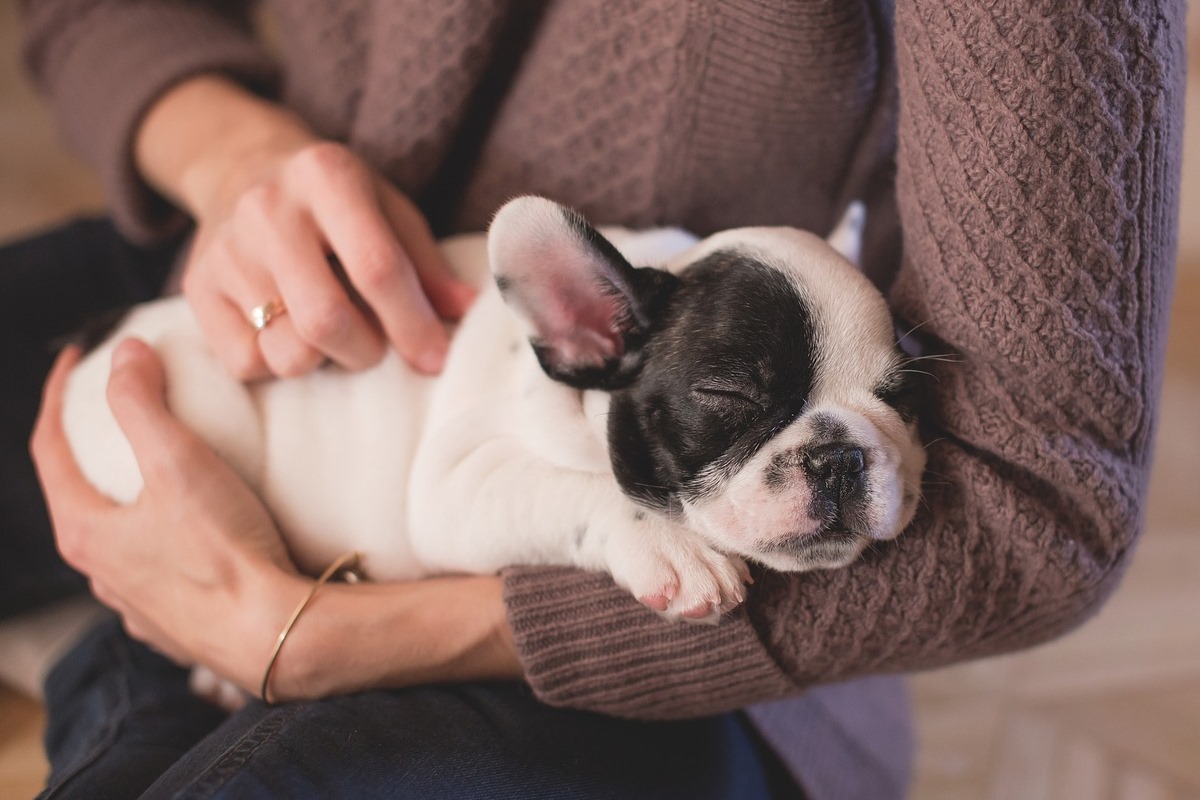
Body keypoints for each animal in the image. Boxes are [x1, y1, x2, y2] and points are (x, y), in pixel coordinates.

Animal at [60, 195, 926, 633]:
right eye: (730, 397)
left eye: (901, 397)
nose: (840, 455)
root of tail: (99, 335)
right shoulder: (455, 484)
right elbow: (583, 490)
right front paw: (674, 549)